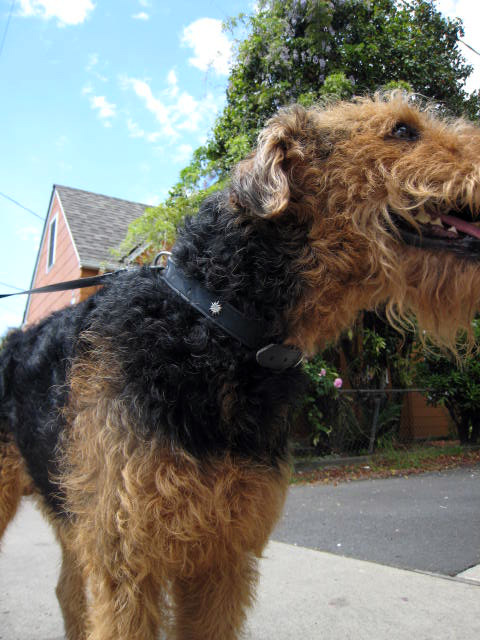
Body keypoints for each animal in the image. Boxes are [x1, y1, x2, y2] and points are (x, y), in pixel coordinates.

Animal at [0, 92, 480, 636]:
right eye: (401, 130)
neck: (214, 323)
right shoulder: (127, 557)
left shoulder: (222, 552)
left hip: (70, 506)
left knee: (67, 591)